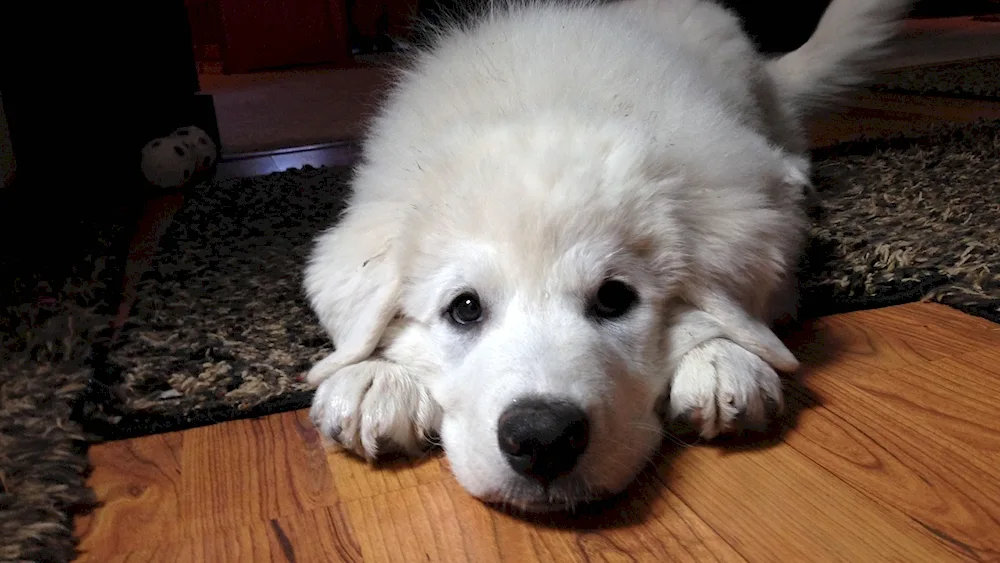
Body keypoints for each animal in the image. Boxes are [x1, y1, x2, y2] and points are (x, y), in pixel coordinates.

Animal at [304, 0, 916, 512]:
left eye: (614, 298)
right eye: (465, 308)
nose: (542, 438)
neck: (545, 102)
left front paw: (723, 358)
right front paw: (374, 379)